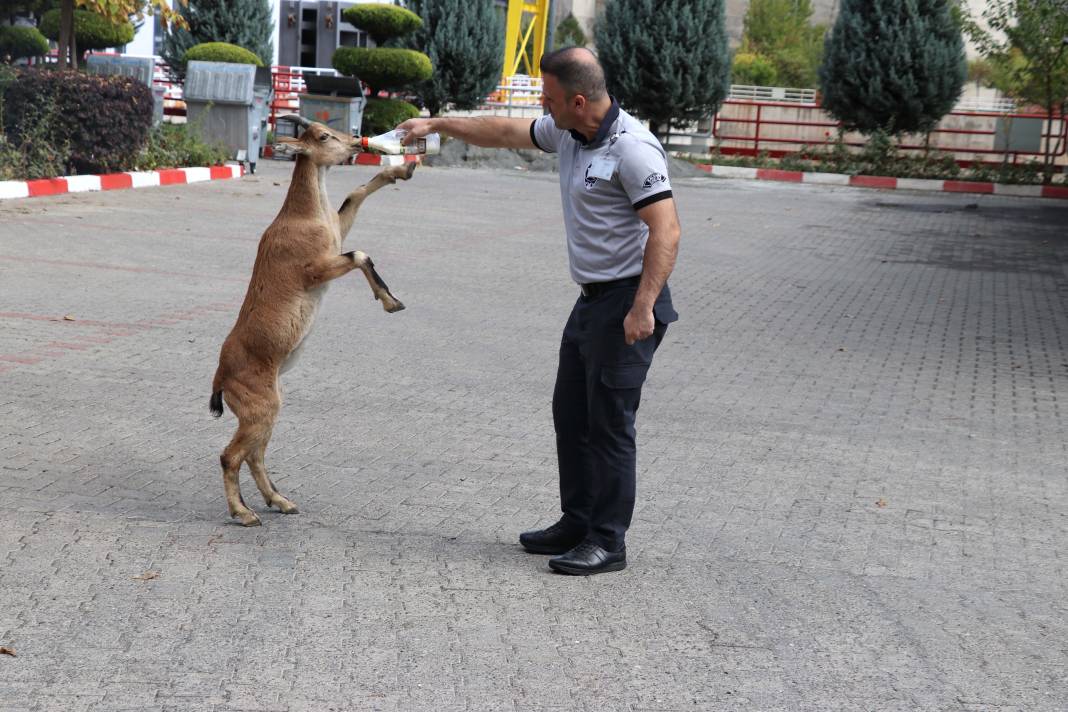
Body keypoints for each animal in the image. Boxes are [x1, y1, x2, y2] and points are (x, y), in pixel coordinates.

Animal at [208, 116, 412, 527]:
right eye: (323, 136)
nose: (356, 142)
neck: (304, 217)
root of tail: (221, 377)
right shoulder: (316, 269)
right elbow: (360, 254)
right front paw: (390, 302)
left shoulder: (336, 233)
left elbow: (356, 195)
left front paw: (401, 170)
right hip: (259, 408)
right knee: (231, 455)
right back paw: (244, 512)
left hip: (267, 408)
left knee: (254, 454)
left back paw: (280, 501)